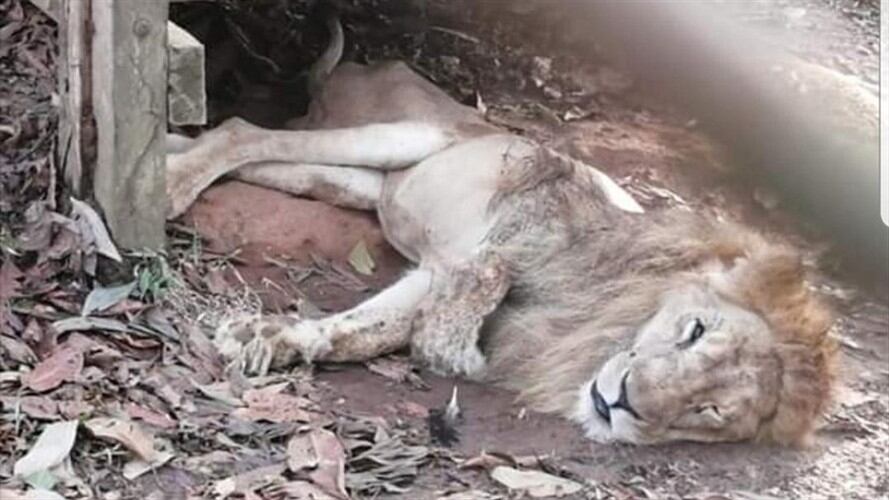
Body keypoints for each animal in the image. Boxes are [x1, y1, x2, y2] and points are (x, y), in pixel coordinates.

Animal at [165, 18, 836, 446]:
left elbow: (379, 332)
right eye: (694, 331)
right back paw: (173, 183)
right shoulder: (500, 239)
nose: (623, 402)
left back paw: (173, 151)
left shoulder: (437, 272)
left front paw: (272, 339)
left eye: (710, 410)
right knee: (244, 129)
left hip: (363, 181)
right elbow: (453, 321)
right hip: (410, 133)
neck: (598, 326)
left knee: (258, 153)